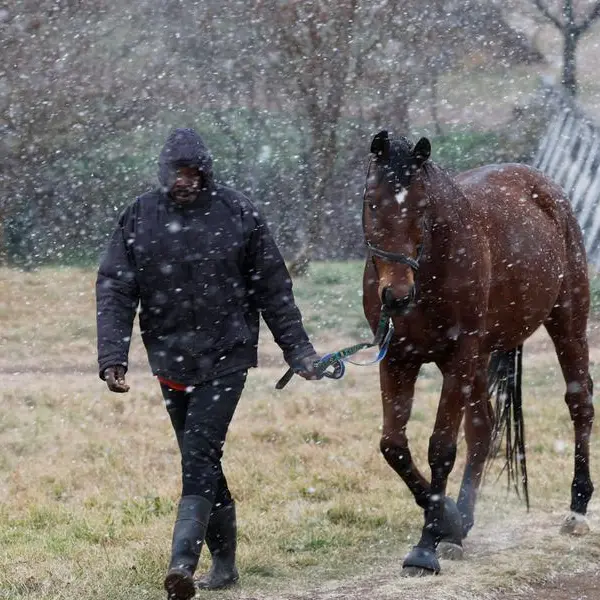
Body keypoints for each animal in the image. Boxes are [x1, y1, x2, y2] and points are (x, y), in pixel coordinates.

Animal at [364, 132, 592, 576]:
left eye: (422, 206)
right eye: (371, 200)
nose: (396, 296)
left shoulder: (458, 358)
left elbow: (440, 449)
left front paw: (426, 547)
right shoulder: (398, 359)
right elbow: (393, 445)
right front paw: (447, 522)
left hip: (566, 322)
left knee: (579, 402)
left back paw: (577, 509)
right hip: (479, 361)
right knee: (483, 428)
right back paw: (462, 525)